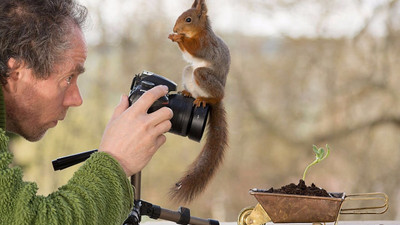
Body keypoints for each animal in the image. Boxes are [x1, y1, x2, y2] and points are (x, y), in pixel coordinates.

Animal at [167, 0, 230, 203]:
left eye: (188, 19)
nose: (175, 28)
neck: (198, 32)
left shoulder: (206, 44)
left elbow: (195, 49)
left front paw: (179, 38)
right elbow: (189, 55)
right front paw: (174, 36)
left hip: (204, 77)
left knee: (213, 93)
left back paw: (205, 99)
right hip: (189, 71)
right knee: (190, 73)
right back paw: (189, 94)